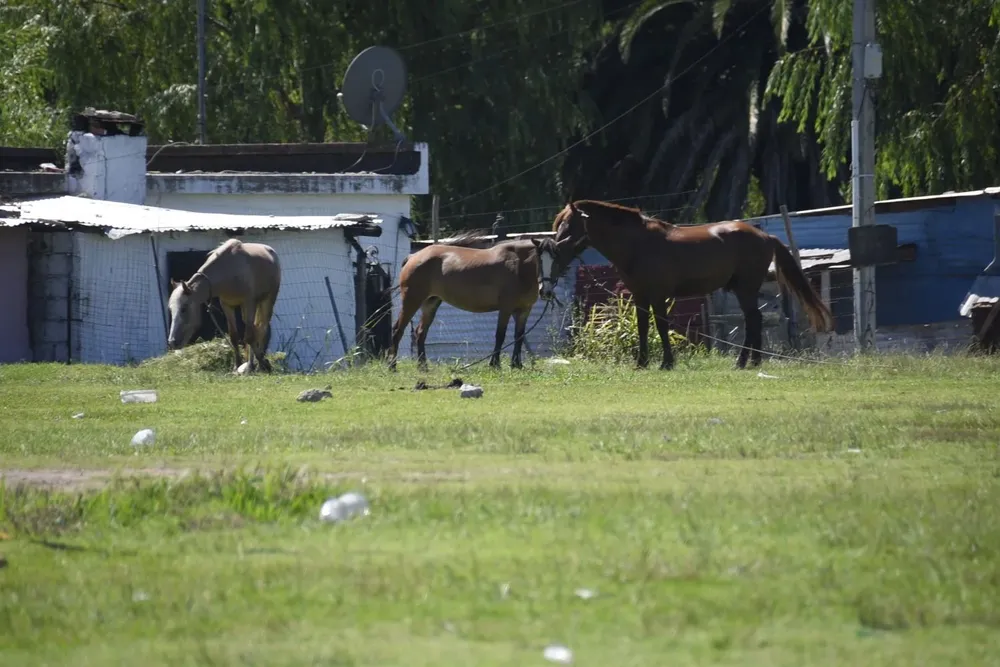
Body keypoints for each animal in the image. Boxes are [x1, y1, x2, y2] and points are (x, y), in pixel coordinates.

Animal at [167, 238, 282, 373]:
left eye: (184, 309)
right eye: (170, 309)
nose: (172, 342)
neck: (228, 270)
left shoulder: (248, 302)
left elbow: (249, 337)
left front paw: (262, 364)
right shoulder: (227, 305)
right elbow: (234, 336)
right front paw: (237, 366)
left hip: (267, 300)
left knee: (261, 329)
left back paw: (257, 365)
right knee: (255, 328)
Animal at [387, 230, 567, 371]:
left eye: (556, 260)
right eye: (539, 259)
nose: (546, 291)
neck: (518, 267)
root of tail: (413, 256)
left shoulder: (524, 310)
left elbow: (519, 336)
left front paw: (517, 365)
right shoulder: (506, 308)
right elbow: (500, 335)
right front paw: (495, 364)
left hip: (431, 302)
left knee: (420, 332)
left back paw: (423, 367)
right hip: (412, 300)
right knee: (397, 330)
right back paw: (392, 367)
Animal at [551, 200, 833, 370]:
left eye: (569, 226)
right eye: (560, 225)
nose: (555, 251)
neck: (637, 245)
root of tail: (765, 235)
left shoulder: (658, 295)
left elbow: (661, 327)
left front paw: (667, 363)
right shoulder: (640, 296)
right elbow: (643, 328)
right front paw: (641, 363)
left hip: (745, 289)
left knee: (753, 319)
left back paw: (744, 362)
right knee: (755, 320)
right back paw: (752, 362)